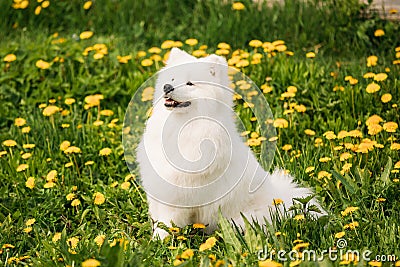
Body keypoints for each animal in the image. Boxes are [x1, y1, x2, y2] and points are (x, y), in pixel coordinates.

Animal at [136, 47, 324, 240]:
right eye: (172, 79)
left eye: (189, 83)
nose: (167, 87)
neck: (182, 126)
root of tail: (280, 198)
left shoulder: (179, 196)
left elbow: (167, 222)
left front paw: (158, 240)